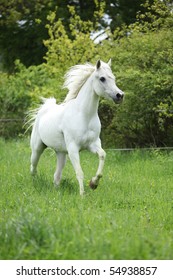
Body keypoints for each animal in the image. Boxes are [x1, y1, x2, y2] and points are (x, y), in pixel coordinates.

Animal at [29, 59, 123, 195]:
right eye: (102, 78)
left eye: (113, 78)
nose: (120, 95)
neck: (84, 115)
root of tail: (44, 109)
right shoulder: (73, 148)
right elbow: (79, 172)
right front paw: (82, 194)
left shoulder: (92, 144)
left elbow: (102, 155)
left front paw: (93, 184)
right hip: (37, 148)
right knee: (33, 167)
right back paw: (34, 184)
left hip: (61, 154)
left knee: (56, 176)